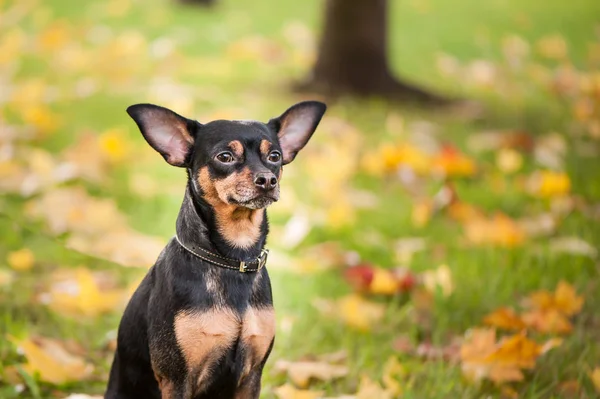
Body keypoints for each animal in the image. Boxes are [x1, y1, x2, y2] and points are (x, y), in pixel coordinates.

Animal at [105, 101, 326, 399]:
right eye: (225, 157)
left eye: (275, 156)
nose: (267, 179)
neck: (232, 259)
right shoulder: (176, 379)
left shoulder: (251, 376)